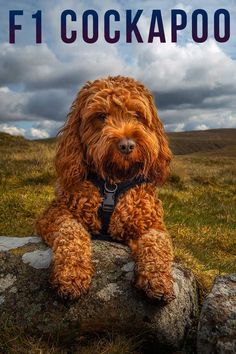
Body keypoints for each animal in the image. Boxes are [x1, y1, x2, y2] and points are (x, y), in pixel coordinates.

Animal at [35, 76, 175, 302]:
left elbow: (157, 243)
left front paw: (157, 278)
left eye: (137, 114)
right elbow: (71, 231)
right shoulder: (54, 213)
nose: (127, 145)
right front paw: (71, 273)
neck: (113, 181)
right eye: (101, 116)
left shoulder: (152, 223)